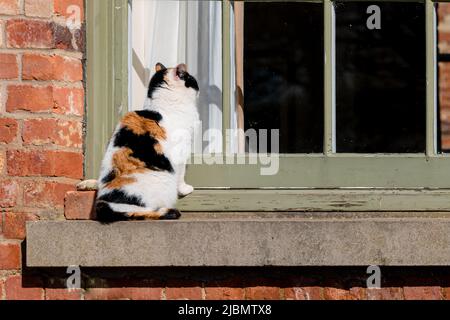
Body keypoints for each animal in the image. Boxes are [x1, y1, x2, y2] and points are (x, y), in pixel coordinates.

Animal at [95, 62, 199, 222]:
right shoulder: (181, 151)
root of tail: (107, 205)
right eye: (191, 79)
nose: (198, 87)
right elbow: (181, 174)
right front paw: (184, 189)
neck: (161, 106)